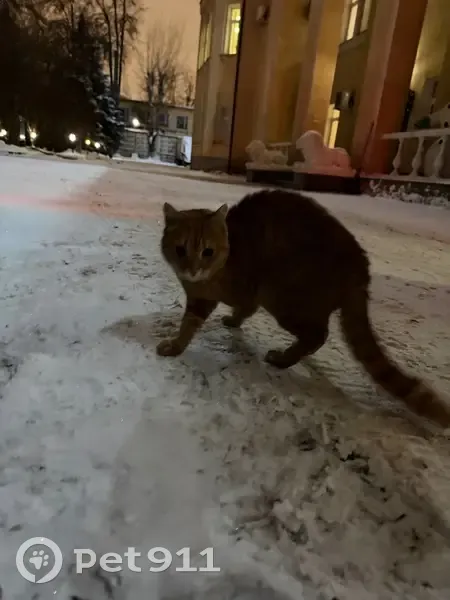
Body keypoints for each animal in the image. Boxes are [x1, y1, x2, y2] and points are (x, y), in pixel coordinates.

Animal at [158, 188, 450, 428]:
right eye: (180, 250)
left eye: (207, 252)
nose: (192, 269)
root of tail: (360, 267)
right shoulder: (238, 296)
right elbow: (239, 311)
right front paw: (230, 321)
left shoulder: (232, 292)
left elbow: (191, 324)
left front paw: (175, 345)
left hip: (282, 299)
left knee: (318, 334)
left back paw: (283, 359)